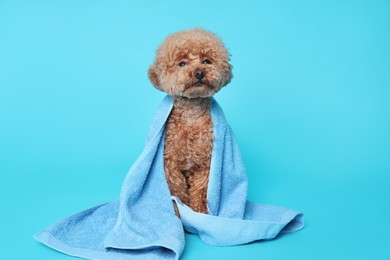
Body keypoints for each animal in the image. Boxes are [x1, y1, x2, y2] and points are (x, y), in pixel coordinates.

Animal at [146, 28, 232, 215]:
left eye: (207, 61)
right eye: (182, 63)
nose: (199, 72)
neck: (192, 115)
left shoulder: (205, 166)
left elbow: (200, 191)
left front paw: (199, 213)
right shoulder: (171, 165)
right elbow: (178, 191)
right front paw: (180, 211)